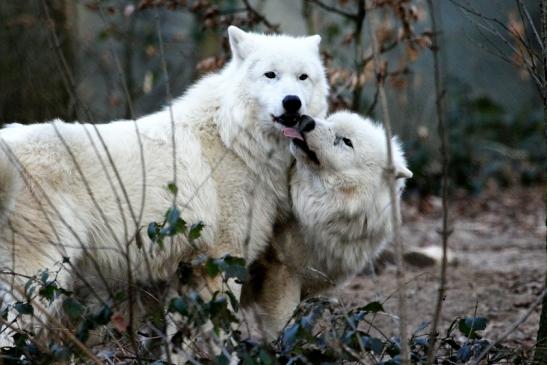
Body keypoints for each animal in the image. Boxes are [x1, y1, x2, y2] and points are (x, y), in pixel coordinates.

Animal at [0, 27, 328, 346]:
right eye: (270, 75)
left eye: (303, 77)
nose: (292, 101)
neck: (233, 140)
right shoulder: (221, 260)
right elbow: (221, 335)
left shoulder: (187, 272)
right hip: (38, 281)